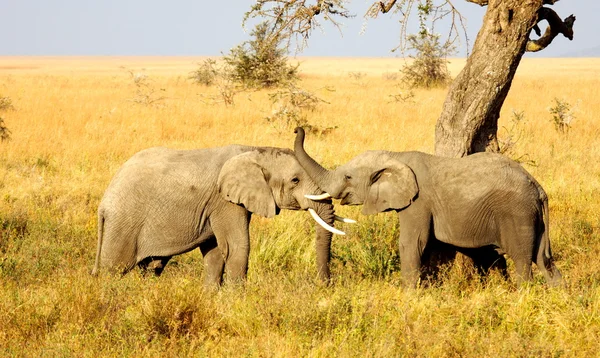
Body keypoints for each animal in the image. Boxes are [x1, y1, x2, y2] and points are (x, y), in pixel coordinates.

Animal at [91, 144, 350, 286]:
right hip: (123, 223)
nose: (326, 285)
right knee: (114, 269)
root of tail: (103, 205)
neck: (254, 150)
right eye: (295, 180)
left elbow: (215, 252)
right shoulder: (224, 201)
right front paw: (238, 302)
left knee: (152, 266)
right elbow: (237, 247)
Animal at [294, 127, 564, 286]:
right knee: (545, 261)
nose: (299, 128)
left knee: (523, 261)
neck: (395, 156)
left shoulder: (417, 203)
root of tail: (539, 190)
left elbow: (413, 242)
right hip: (533, 217)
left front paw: (408, 295)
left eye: (348, 177)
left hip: (517, 214)